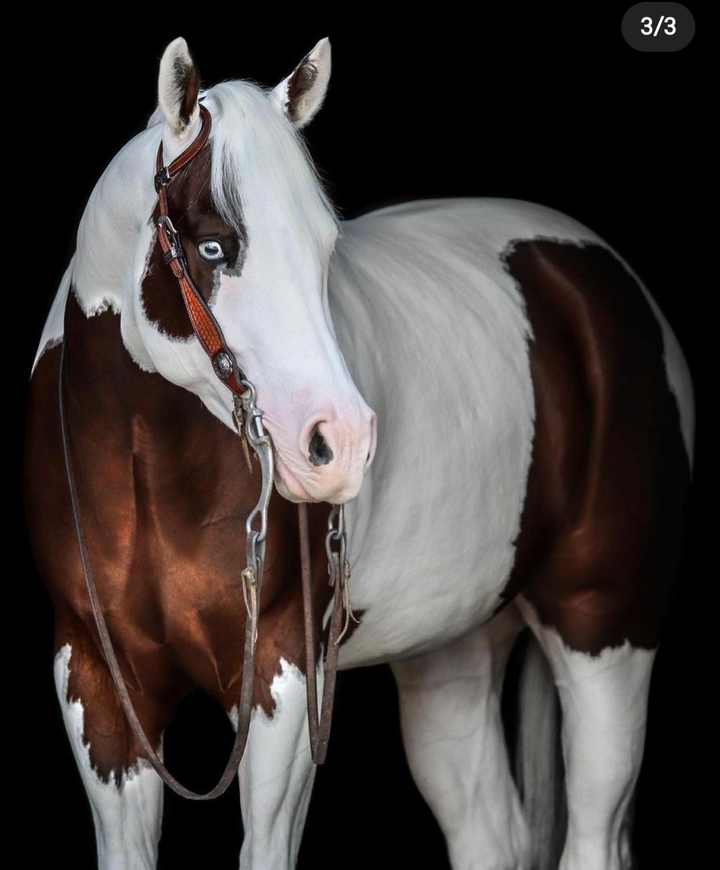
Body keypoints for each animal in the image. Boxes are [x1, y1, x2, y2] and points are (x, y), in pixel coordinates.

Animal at [23, 35, 694, 870]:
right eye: (214, 245)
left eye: (326, 247)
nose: (339, 446)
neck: (150, 466)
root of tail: (597, 275)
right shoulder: (97, 684)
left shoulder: (284, 680)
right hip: (453, 650)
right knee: (489, 830)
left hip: (606, 632)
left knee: (595, 832)